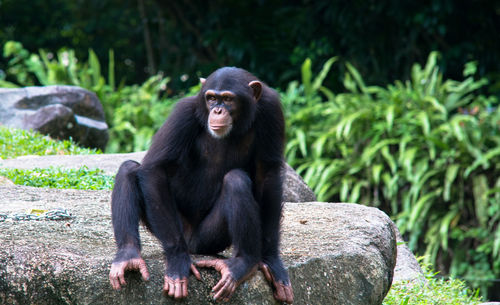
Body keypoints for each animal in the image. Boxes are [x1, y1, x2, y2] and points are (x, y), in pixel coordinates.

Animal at [109, 66, 292, 302]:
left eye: (228, 99)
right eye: (211, 98)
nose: (217, 110)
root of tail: (191, 243)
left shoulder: (271, 110)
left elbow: (267, 175)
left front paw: (271, 260)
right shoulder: (182, 113)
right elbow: (154, 169)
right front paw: (177, 260)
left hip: (206, 240)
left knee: (236, 180)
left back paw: (243, 264)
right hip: (173, 227)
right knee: (129, 170)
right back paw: (128, 255)